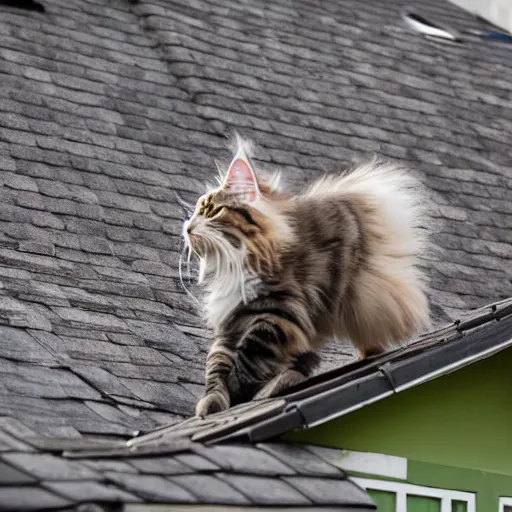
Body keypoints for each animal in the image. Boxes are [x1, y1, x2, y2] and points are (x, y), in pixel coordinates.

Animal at [182, 135, 430, 416]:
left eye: (212, 211)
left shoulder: (279, 315)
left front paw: (236, 395)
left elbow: (247, 358)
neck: (234, 263)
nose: (187, 226)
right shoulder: (232, 321)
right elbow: (217, 365)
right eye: (198, 209)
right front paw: (212, 403)